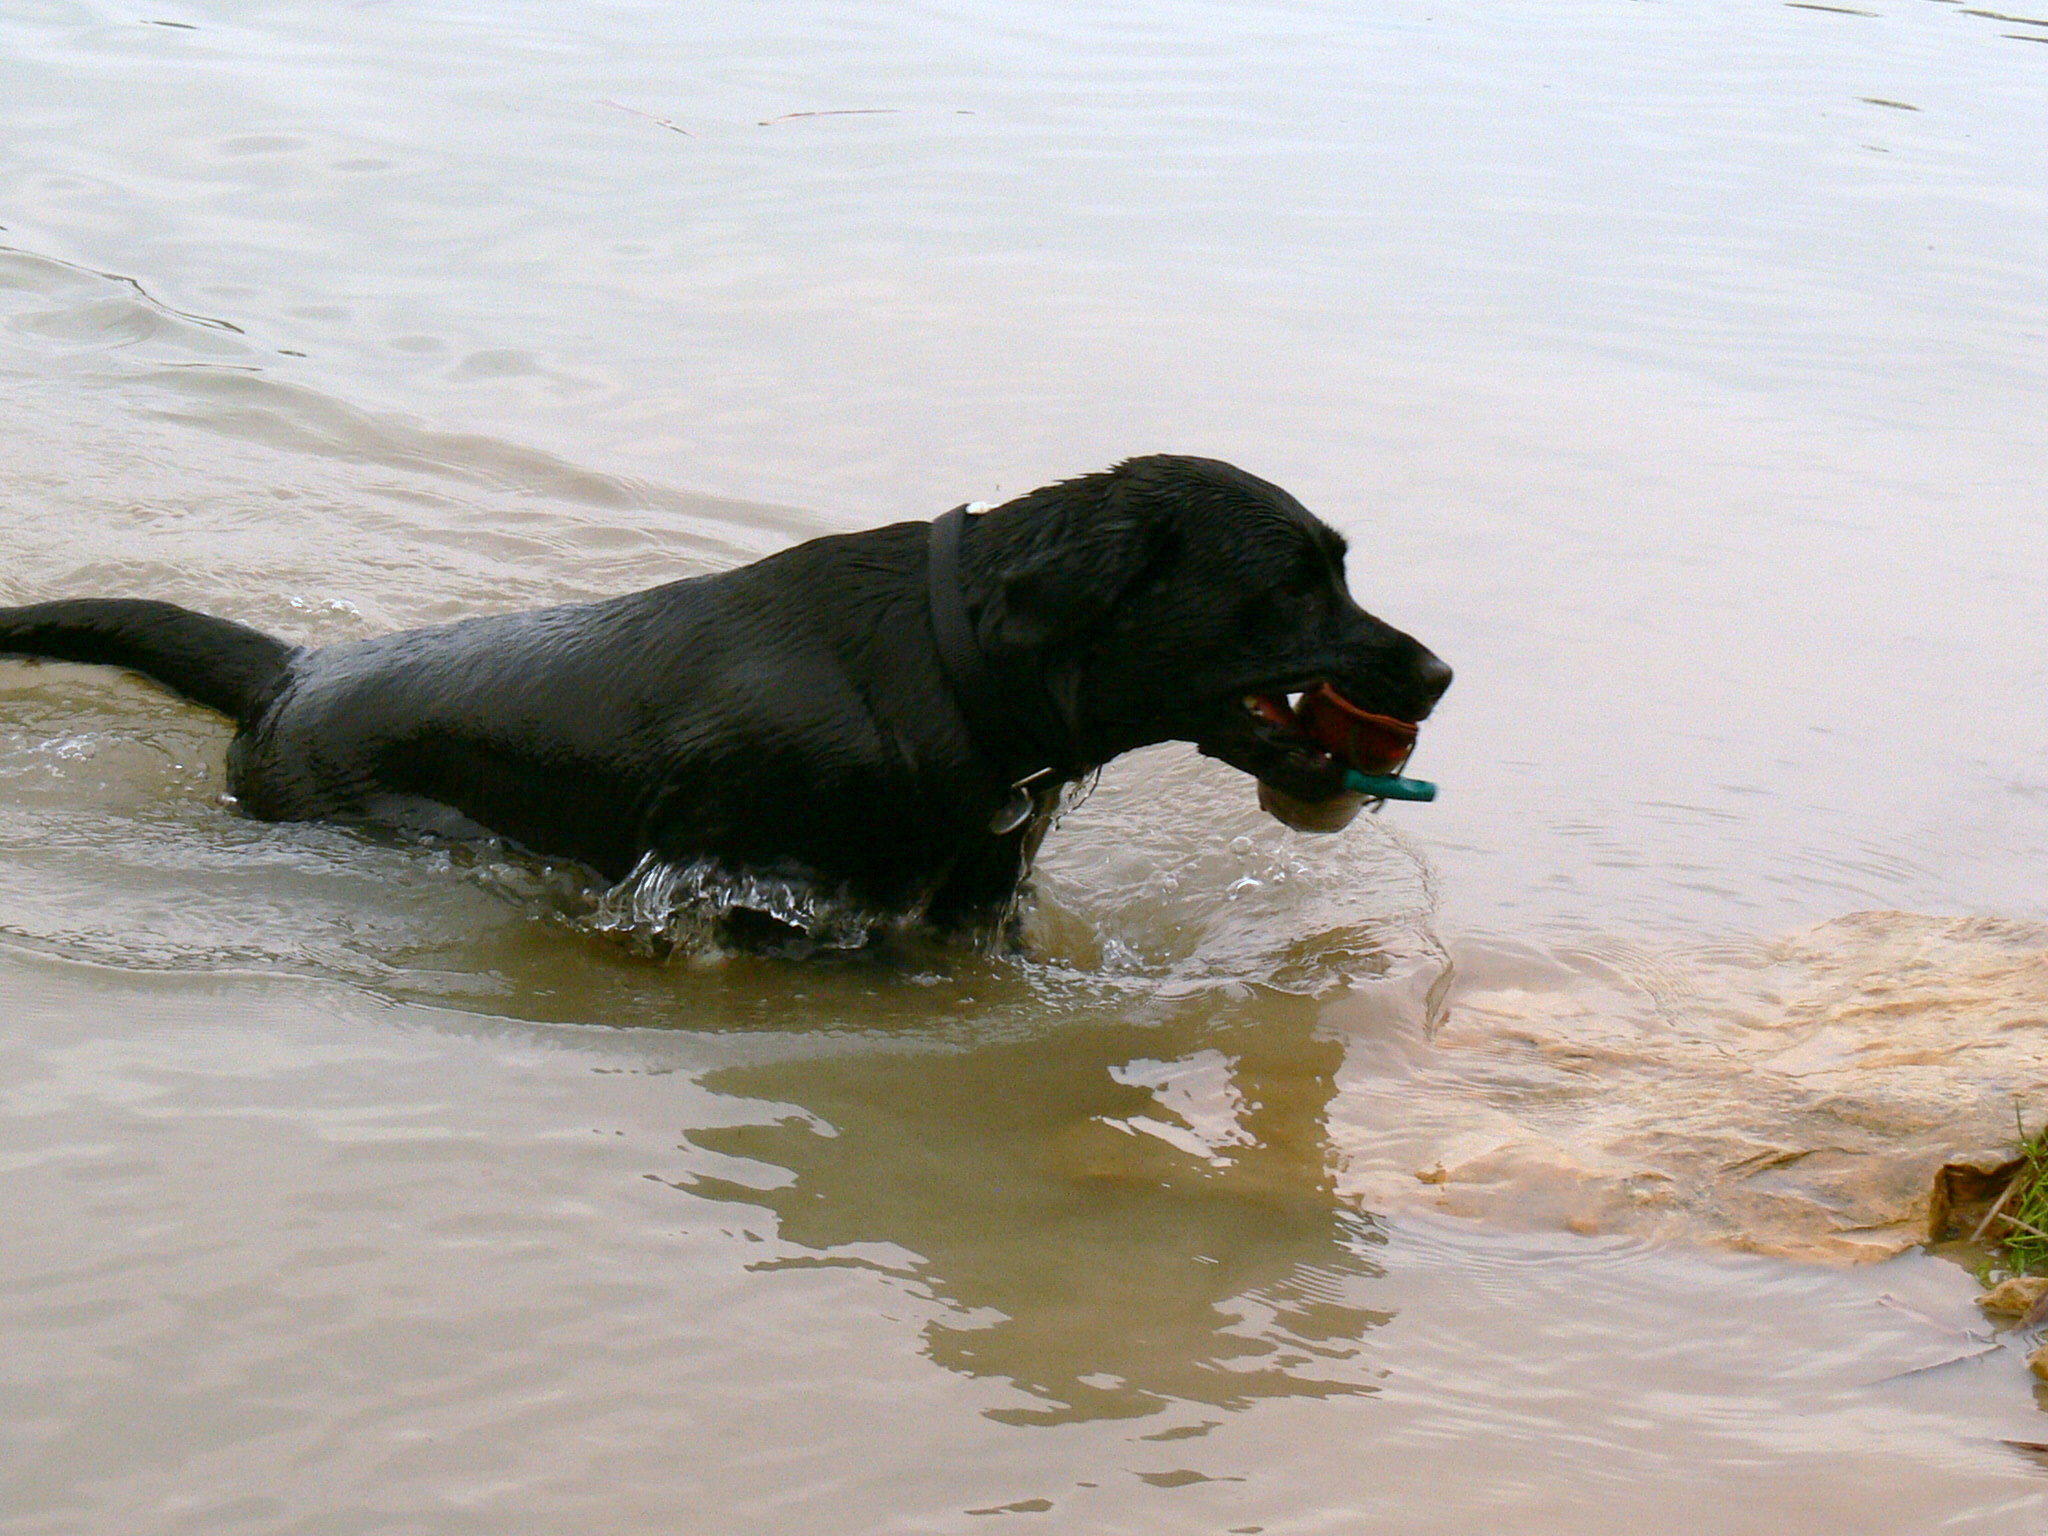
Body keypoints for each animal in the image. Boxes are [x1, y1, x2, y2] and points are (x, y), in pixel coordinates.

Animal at [0, 454, 1449, 937]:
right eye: (1296, 586)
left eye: (1340, 568)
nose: (1437, 669)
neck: (954, 676)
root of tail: (293, 670)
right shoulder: (735, 882)